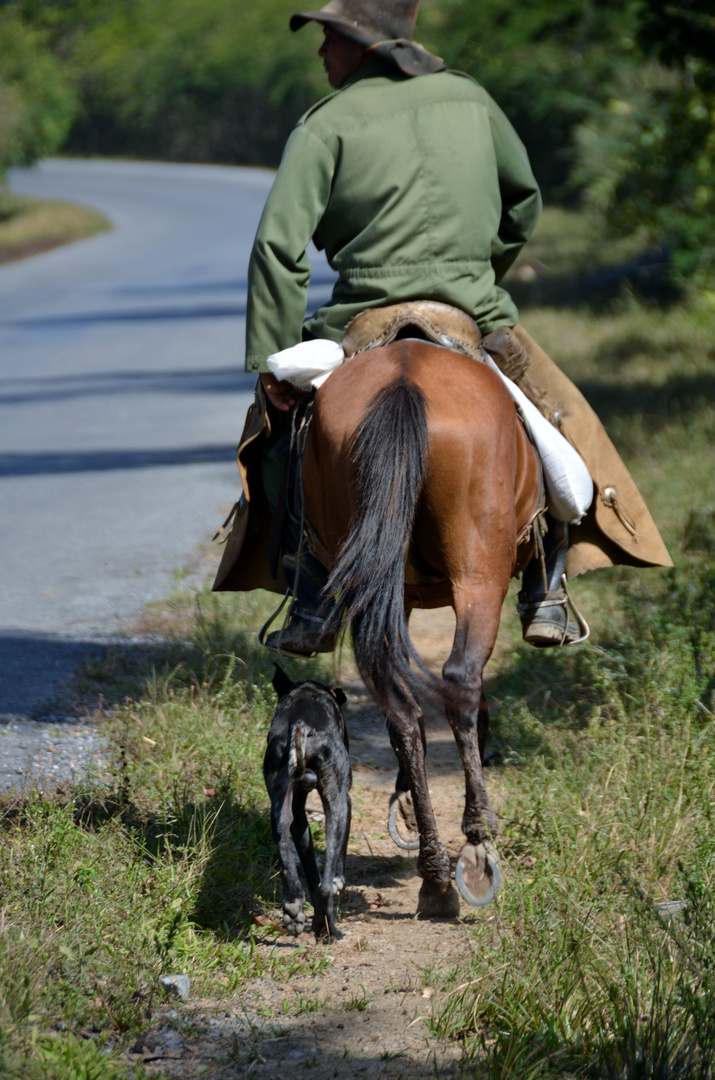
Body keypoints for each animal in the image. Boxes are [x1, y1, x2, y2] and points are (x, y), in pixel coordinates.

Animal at [263, 660, 352, 941]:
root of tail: (301, 724)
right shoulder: (346, 801)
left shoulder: (299, 817)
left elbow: (310, 869)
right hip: (337, 807)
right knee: (326, 884)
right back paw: (330, 928)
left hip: (281, 806)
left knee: (282, 837)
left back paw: (293, 906)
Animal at [302, 341, 544, 915]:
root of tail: (404, 378)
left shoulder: (399, 595)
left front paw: (410, 804)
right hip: (480, 573)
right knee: (461, 681)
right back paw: (476, 842)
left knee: (401, 707)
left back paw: (433, 873)